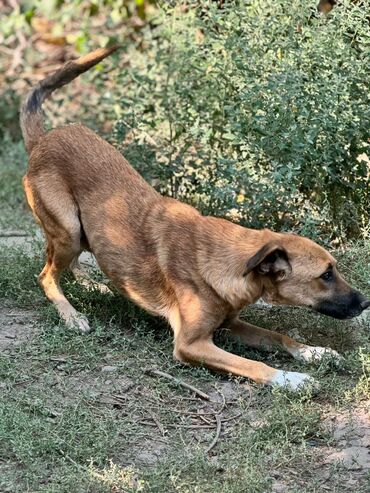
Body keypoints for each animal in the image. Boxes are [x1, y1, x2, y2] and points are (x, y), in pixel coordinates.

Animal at [21, 48, 370, 390]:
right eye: (326, 275)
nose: (365, 303)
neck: (231, 262)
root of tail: (42, 140)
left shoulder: (231, 324)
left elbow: (280, 337)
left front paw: (314, 352)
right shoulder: (192, 343)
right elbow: (255, 364)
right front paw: (291, 378)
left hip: (81, 235)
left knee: (67, 263)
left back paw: (92, 284)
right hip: (69, 230)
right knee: (46, 275)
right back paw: (71, 314)